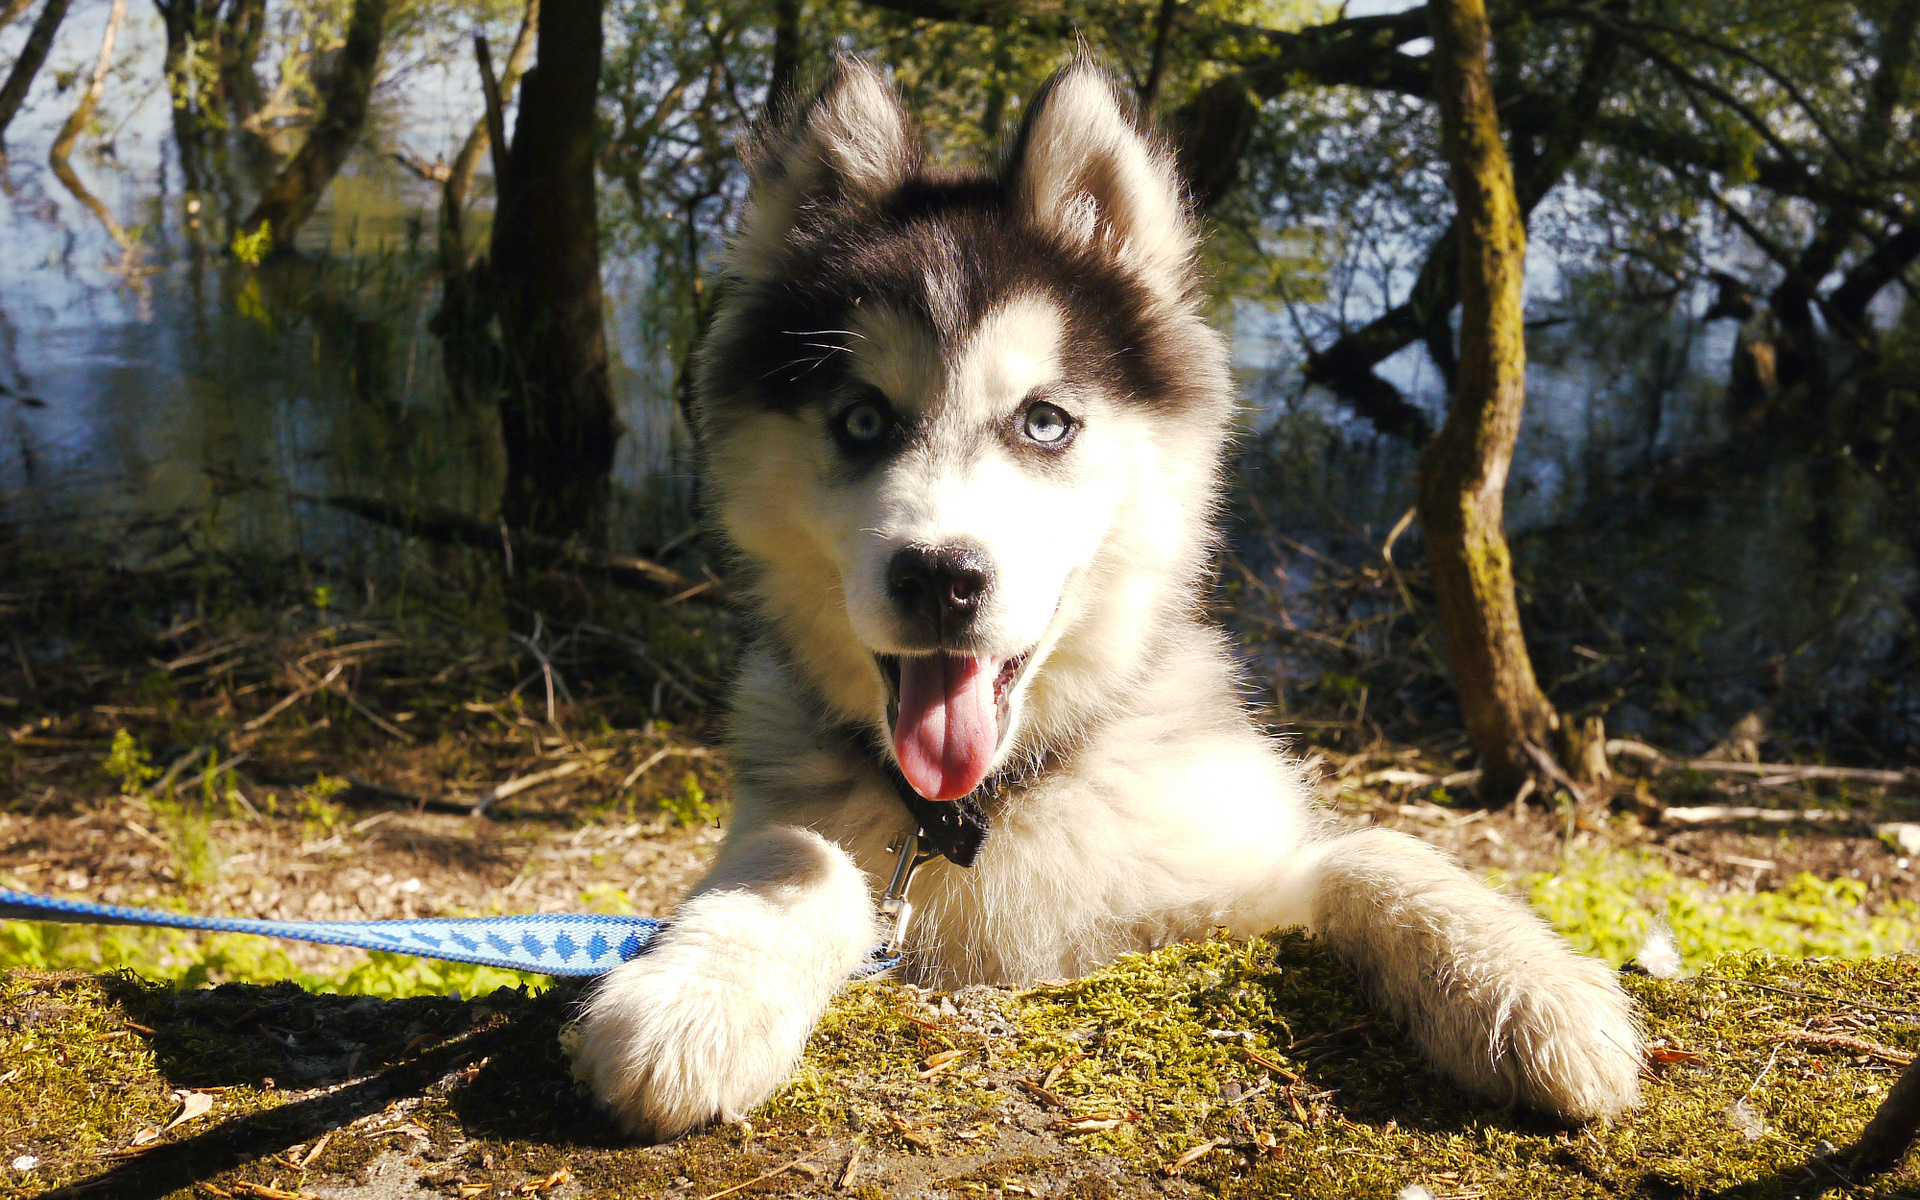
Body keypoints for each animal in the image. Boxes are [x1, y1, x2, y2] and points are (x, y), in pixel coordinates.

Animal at [564, 58, 1635, 1144]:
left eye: (1045, 422)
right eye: (862, 420)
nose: (941, 578)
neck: (977, 810)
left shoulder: (1217, 885)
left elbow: (1370, 851)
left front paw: (1528, 983)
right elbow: (799, 851)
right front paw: (693, 999)